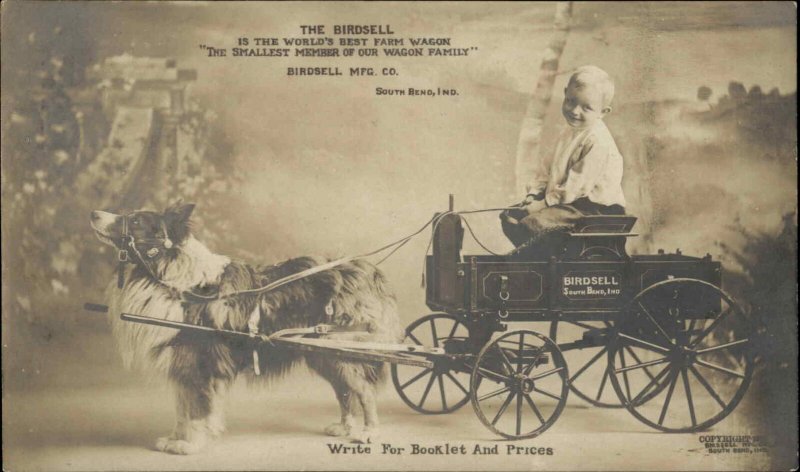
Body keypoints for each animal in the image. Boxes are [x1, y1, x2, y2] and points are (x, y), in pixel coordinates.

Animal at [90, 203, 404, 454]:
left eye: (135, 220)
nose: (94, 214)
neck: (174, 278)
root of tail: (365, 269)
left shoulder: (201, 363)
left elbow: (197, 409)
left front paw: (191, 445)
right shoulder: (182, 362)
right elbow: (181, 408)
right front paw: (175, 439)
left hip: (341, 351)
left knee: (363, 391)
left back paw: (369, 432)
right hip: (322, 354)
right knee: (344, 391)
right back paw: (344, 427)